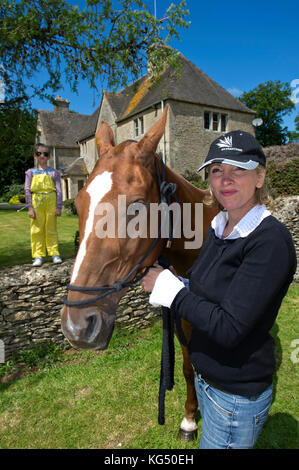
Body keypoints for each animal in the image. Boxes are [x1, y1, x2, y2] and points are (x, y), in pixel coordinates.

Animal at [61, 105, 218, 440]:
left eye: (135, 207)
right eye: (78, 204)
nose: (76, 327)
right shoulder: (182, 321)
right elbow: (188, 367)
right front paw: (189, 418)